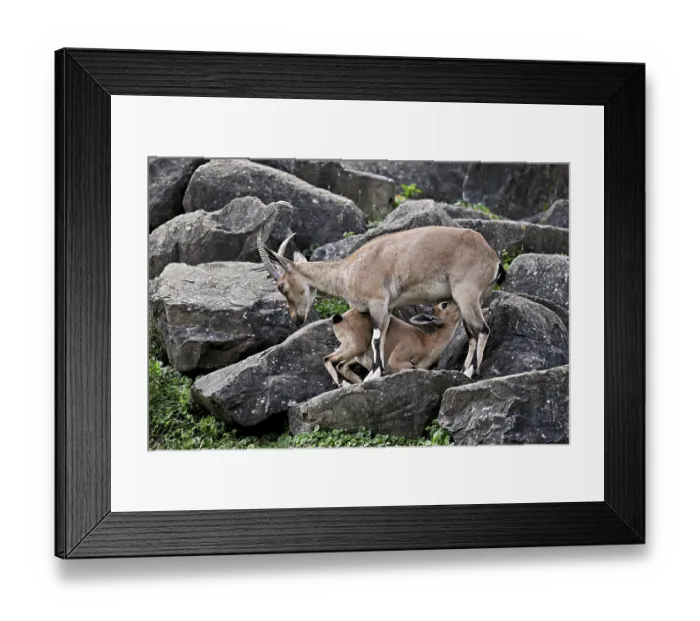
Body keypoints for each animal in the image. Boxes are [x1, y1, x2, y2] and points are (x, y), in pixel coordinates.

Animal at [323, 301, 463, 386]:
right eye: (444, 304)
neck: (425, 342)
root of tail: (340, 319)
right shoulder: (397, 358)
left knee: (341, 365)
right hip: (355, 347)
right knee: (328, 359)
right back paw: (346, 384)